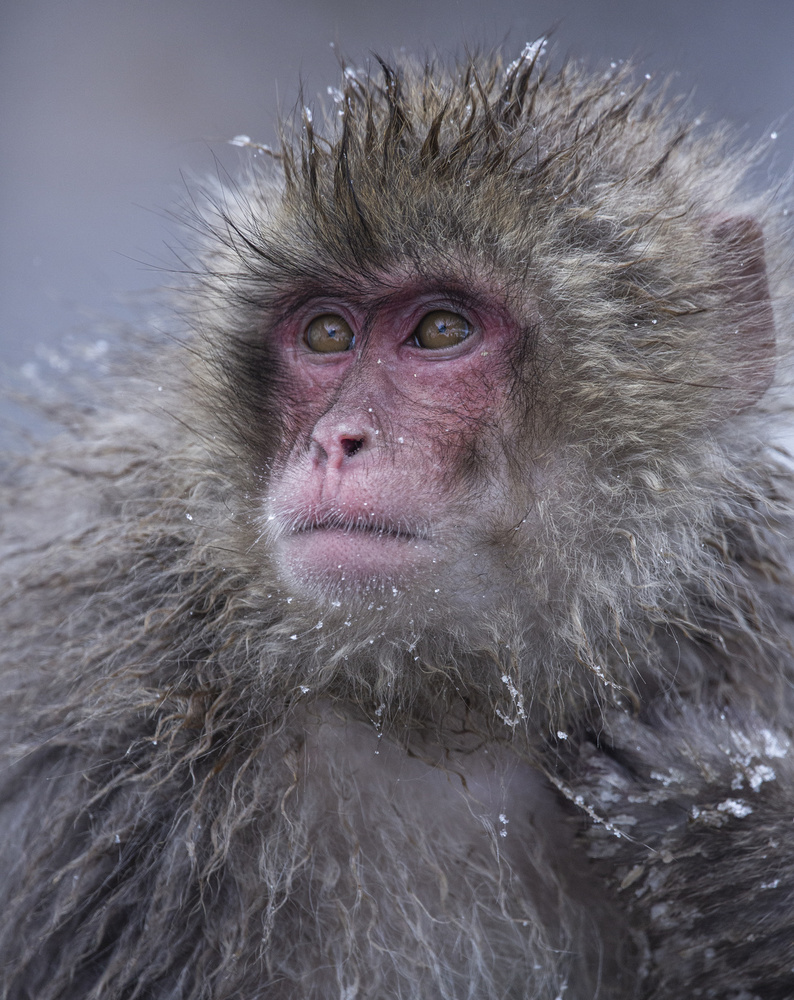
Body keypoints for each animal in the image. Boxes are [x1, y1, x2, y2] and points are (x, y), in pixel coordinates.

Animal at [1, 39, 792, 1000]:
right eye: (328, 334)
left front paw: (727, 837)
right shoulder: (93, 712)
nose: (338, 440)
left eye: (442, 329)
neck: (446, 699)